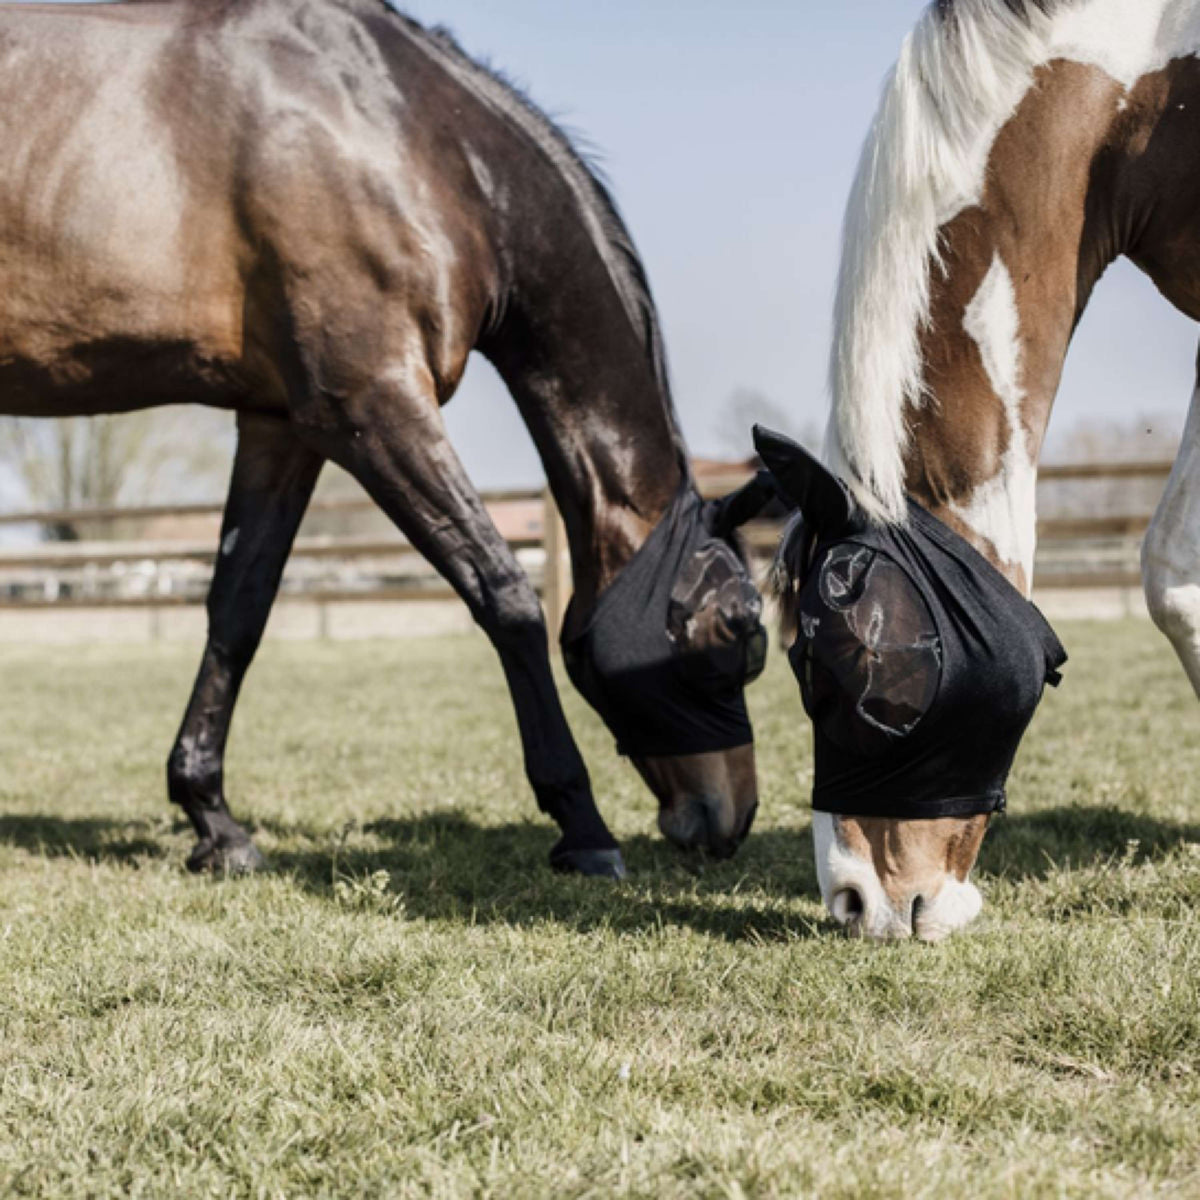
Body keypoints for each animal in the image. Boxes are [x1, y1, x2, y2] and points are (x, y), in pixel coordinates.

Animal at [0, 2, 768, 883]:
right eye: (735, 628)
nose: (733, 818)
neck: (406, 137)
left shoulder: (281, 424)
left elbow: (239, 609)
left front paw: (213, 820)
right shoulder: (371, 405)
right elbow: (505, 596)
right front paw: (583, 826)